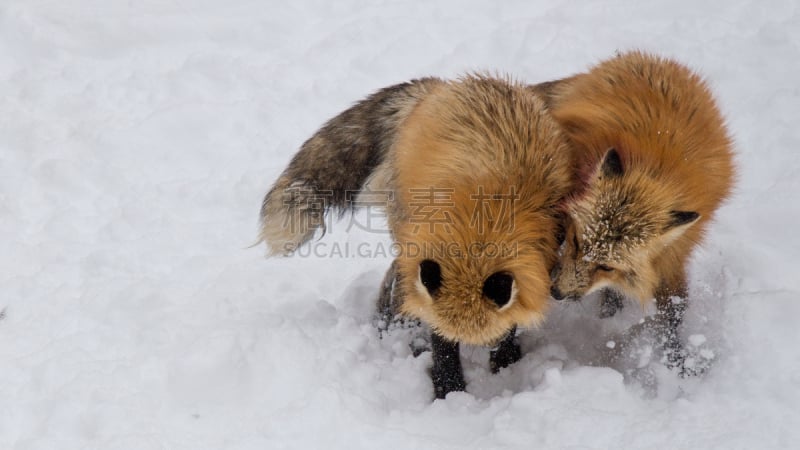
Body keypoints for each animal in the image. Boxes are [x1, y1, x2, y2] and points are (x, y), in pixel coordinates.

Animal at [260, 74, 572, 398]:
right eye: (445, 335)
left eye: (497, 331)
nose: (493, 346)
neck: (480, 232)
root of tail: (442, 85)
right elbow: (440, 344)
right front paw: (449, 389)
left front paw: (505, 362)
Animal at [536, 51, 736, 372]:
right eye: (576, 241)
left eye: (606, 266)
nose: (557, 293)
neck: (652, 169)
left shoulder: (672, 254)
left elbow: (673, 311)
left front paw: (677, 361)